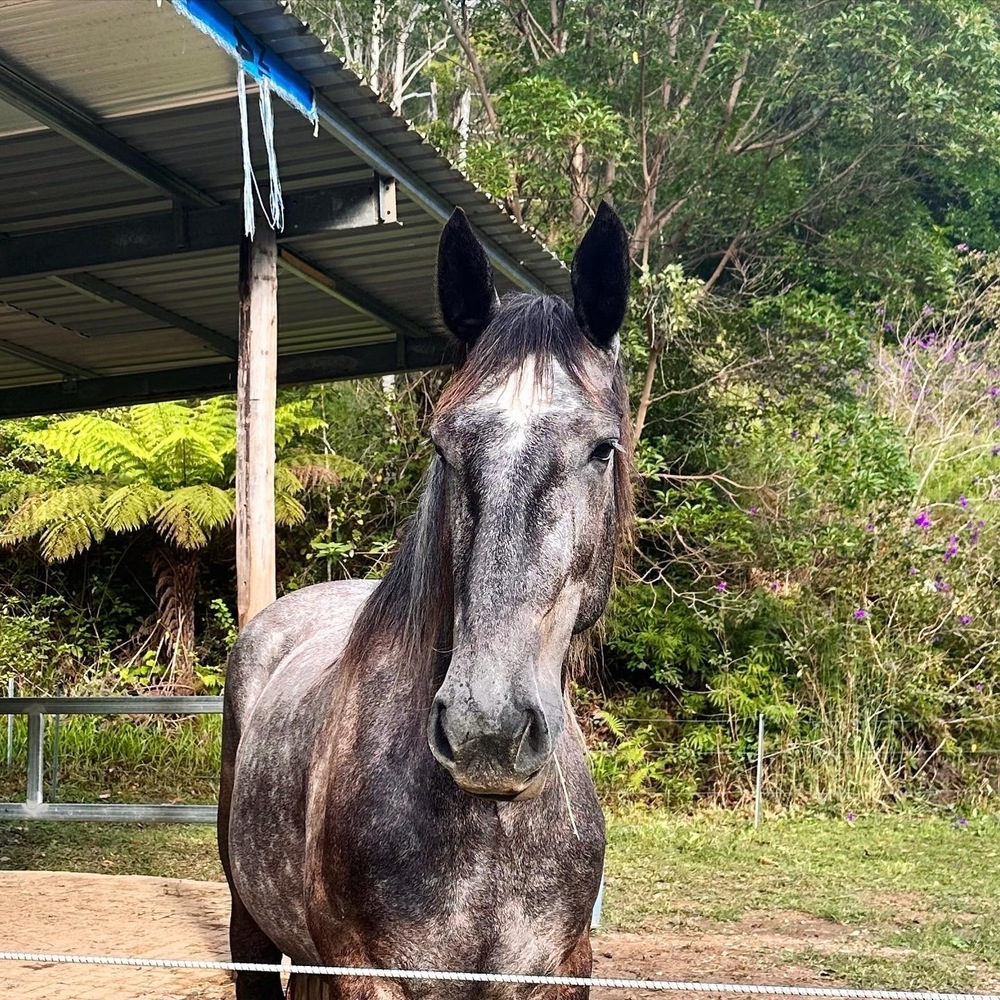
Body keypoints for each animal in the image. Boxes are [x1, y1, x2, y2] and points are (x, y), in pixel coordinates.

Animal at [219, 201, 633, 1000]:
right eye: (443, 446)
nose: (487, 731)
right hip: (248, 927)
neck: (490, 827)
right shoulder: (363, 972)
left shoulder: (565, 971)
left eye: (603, 448)